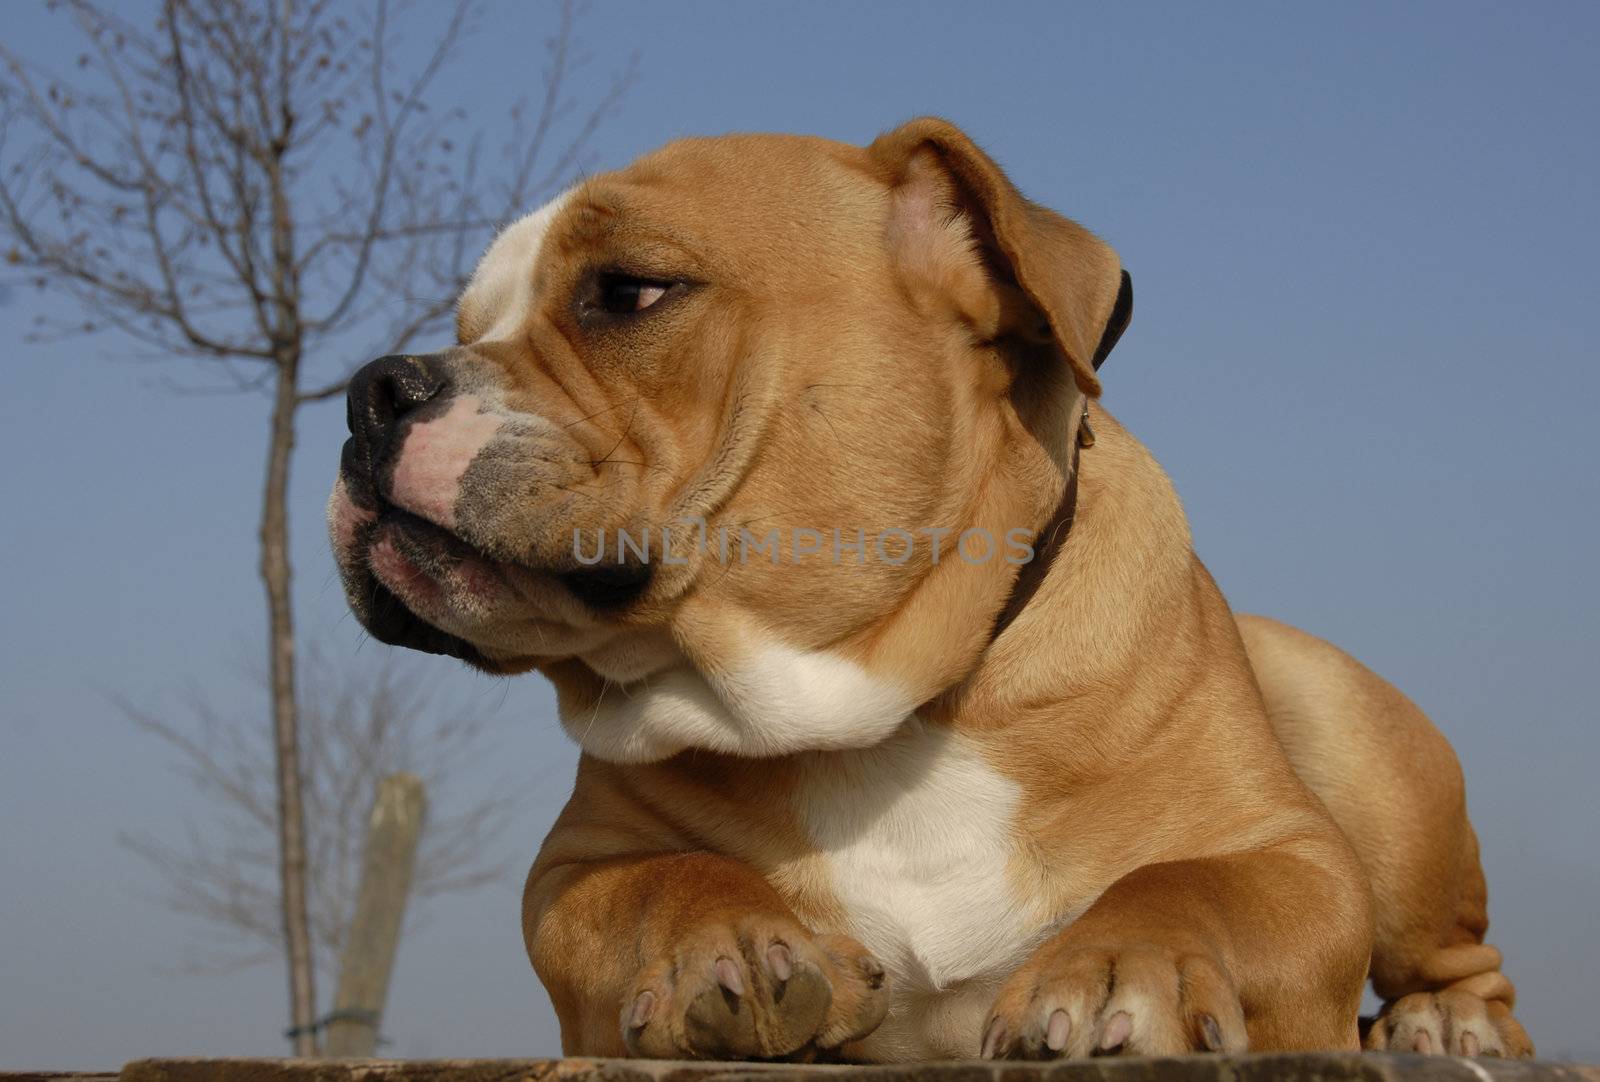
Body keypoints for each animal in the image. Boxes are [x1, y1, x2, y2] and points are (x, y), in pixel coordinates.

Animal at [328, 118, 1536, 1056]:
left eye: (628, 292)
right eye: (469, 327)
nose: (373, 389)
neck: (876, 705)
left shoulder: (1291, 853)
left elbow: (1195, 884)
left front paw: (1119, 964)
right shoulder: (578, 863)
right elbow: (658, 878)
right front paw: (730, 942)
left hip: (1349, 732)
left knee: (1463, 957)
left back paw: (1446, 1023)